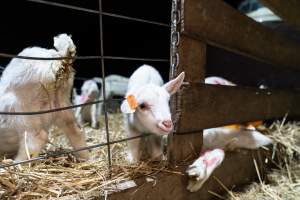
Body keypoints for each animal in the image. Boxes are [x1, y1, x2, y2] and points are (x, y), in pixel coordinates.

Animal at [0, 32, 89, 161]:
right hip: (62, 105)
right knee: (76, 131)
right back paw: (86, 158)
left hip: (22, 115)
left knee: (35, 140)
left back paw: (18, 162)